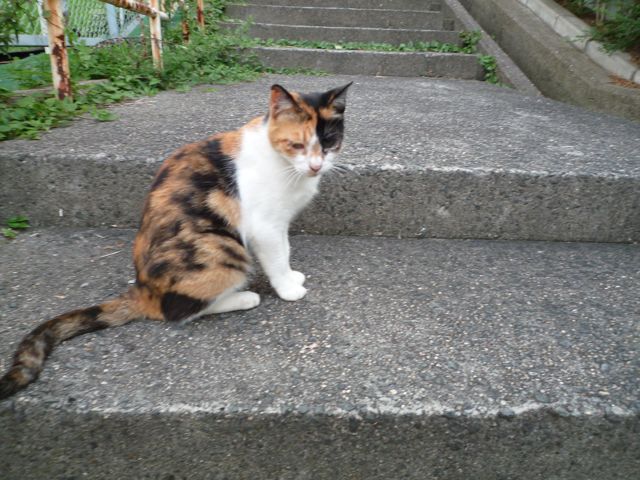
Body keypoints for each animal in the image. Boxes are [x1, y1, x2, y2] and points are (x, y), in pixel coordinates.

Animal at [0, 82, 352, 400]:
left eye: (329, 142)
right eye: (296, 144)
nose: (316, 166)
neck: (281, 162)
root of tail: (142, 290)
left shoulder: (281, 220)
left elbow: (286, 250)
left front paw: (292, 276)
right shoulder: (264, 225)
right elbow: (277, 257)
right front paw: (288, 288)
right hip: (220, 248)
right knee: (178, 311)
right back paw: (243, 298)